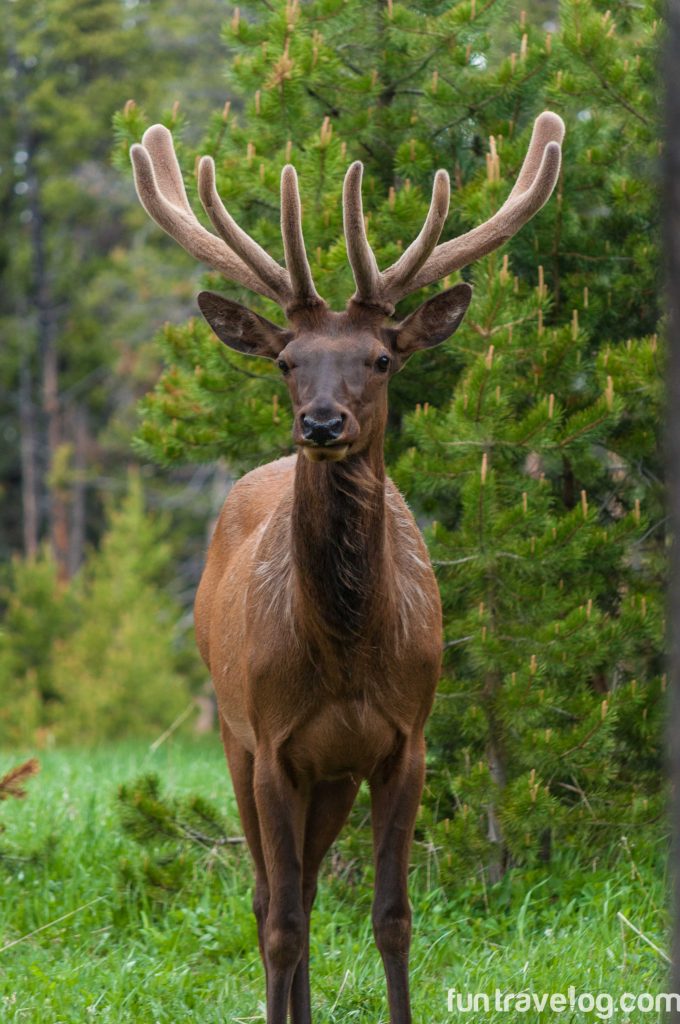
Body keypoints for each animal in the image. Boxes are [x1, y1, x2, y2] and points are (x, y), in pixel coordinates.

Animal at [129, 112, 561, 1024]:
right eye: (287, 360)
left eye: (382, 358)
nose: (321, 423)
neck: (346, 650)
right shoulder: (271, 744)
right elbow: (281, 923)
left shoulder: (405, 742)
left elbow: (392, 917)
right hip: (235, 732)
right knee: (272, 897)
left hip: (328, 776)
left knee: (314, 885)